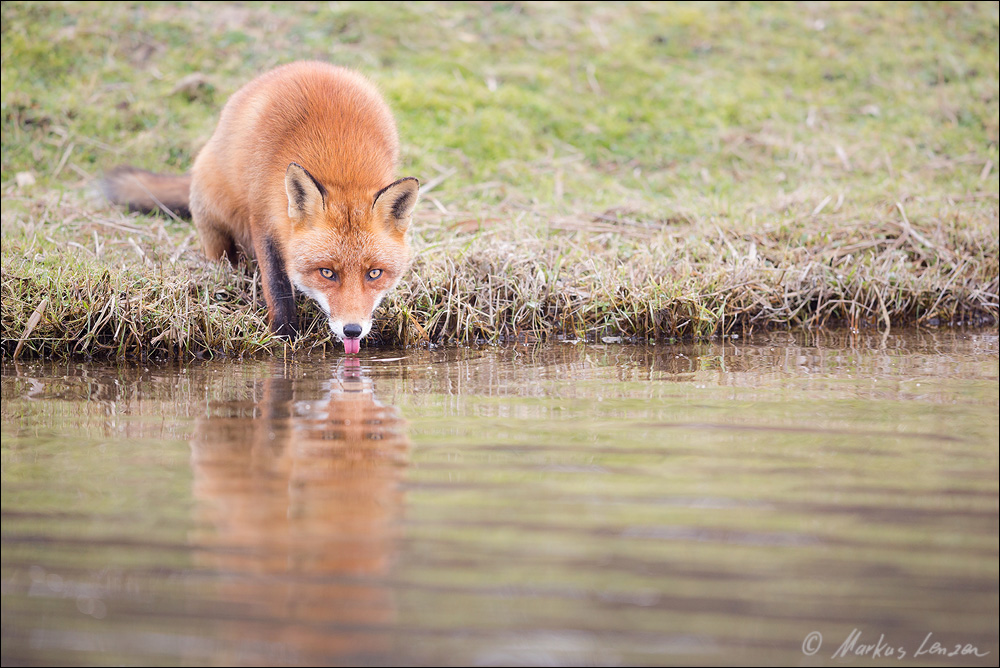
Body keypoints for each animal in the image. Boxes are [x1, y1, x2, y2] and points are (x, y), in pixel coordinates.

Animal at [104, 60, 422, 354]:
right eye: (327, 273)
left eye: (375, 274)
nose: (352, 330)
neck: (340, 156)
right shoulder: (263, 217)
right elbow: (277, 285)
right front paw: (284, 336)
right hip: (213, 216)